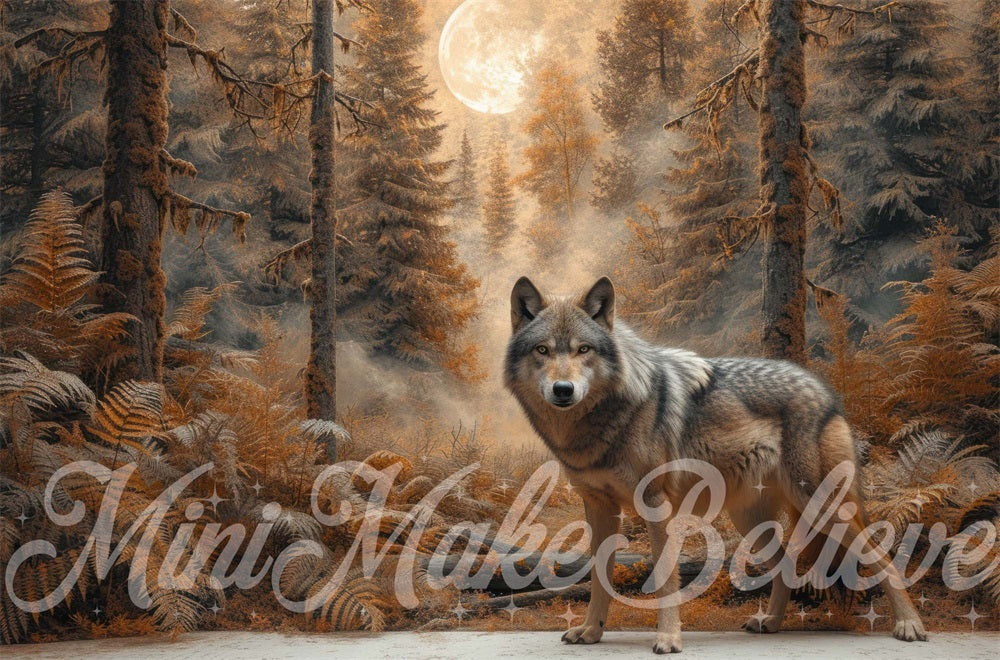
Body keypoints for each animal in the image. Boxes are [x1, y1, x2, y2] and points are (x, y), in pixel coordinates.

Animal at [504, 276, 927, 654]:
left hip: (824, 506)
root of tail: (825, 390)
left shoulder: (655, 504)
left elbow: (665, 578)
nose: (563, 390)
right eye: (542, 350)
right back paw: (771, 622)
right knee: (787, 566)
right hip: (753, 520)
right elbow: (599, 577)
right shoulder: (597, 507)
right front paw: (591, 631)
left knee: (884, 556)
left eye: (583, 350)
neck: (603, 422)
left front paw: (668, 639)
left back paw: (909, 625)